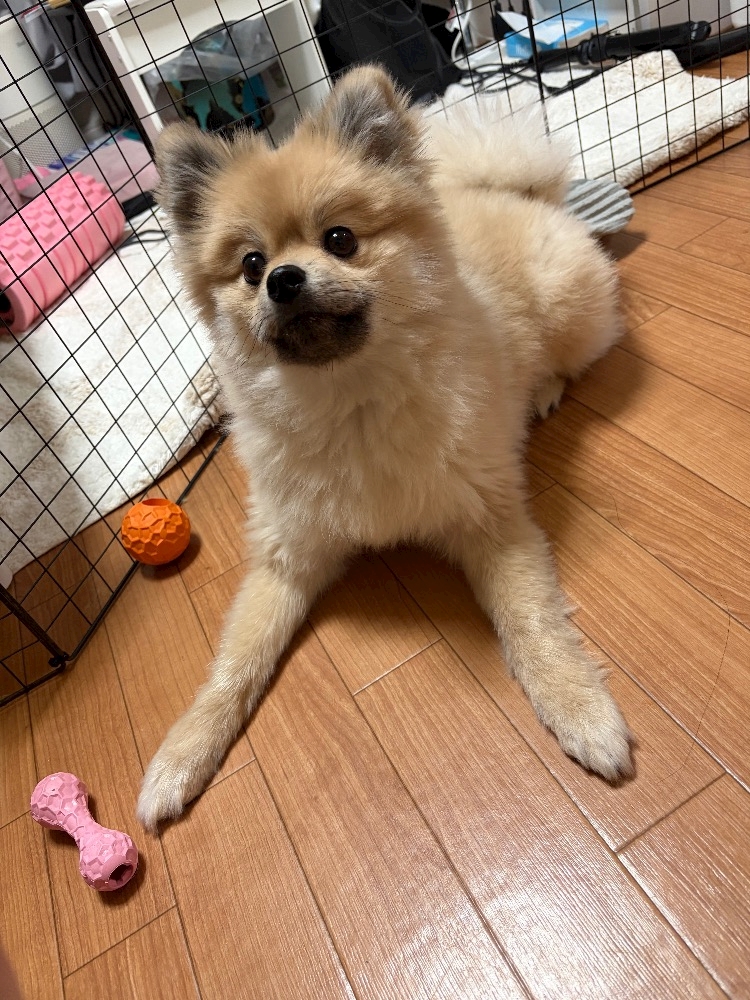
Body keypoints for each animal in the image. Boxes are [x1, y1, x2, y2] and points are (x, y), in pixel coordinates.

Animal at [136, 66, 632, 830]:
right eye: (250, 265)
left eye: (340, 239)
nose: (283, 279)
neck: (350, 402)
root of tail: (512, 191)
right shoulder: (289, 555)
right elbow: (233, 666)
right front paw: (182, 754)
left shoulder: (489, 520)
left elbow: (533, 622)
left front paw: (580, 708)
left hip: (569, 309)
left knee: (579, 353)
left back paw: (544, 389)